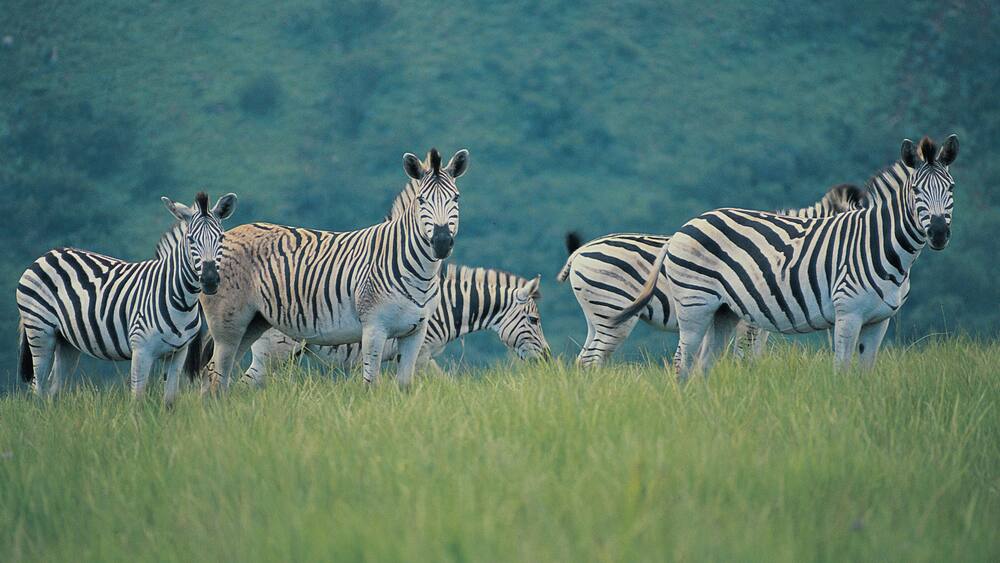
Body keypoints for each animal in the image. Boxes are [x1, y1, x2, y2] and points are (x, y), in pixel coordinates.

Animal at [16, 192, 238, 404]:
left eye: (221, 238)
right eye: (191, 239)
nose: (210, 280)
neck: (180, 300)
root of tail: (48, 254)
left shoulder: (177, 353)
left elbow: (169, 401)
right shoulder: (141, 350)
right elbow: (137, 399)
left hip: (67, 342)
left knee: (54, 390)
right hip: (40, 331)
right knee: (39, 387)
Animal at [199, 148, 469, 390]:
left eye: (456, 198)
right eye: (421, 201)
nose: (442, 242)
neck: (418, 272)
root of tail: (226, 235)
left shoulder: (415, 332)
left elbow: (405, 385)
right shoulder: (374, 328)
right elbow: (371, 385)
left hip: (252, 324)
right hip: (229, 324)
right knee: (215, 374)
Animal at [242, 264, 549, 383]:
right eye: (534, 320)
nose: (547, 359)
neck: (445, 307)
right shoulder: (422, 352)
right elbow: (442, 383)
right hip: (275, 353)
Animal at [558, 183, 864, 367]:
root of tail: (581, 251)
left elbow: (753, 358)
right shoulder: (749, 320)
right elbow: (744, 359)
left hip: (598, 314)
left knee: (584, 358)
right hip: (613, 311)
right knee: (592, 359)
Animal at [613, 135, 959, 378]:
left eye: (952, 188)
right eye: (915, 191)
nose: (939, 233)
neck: (879, 244)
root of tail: (684, 227)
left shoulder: (879, 320)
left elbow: (865, 374)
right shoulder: (847, 313)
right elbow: (842, 371)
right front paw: (843, 413)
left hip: (723, 311)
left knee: (703, 365)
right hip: (694, 305)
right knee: (682, 363)